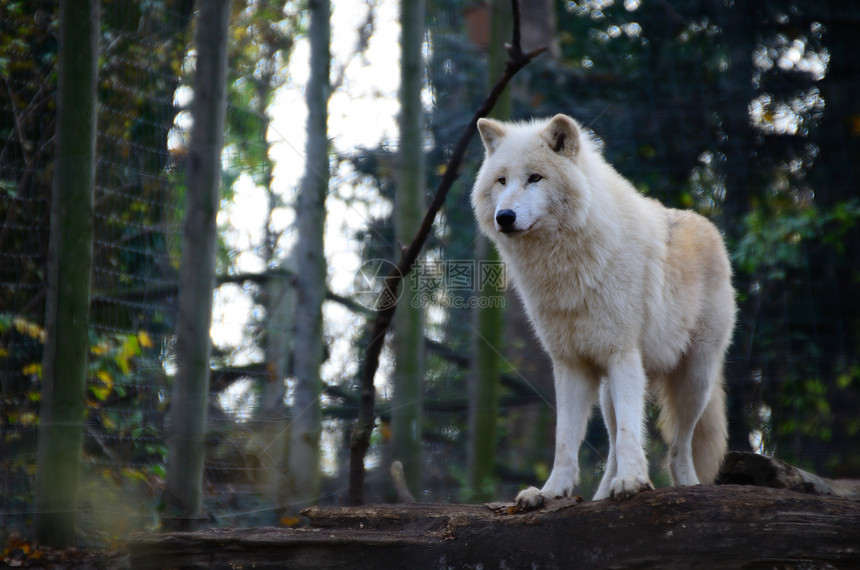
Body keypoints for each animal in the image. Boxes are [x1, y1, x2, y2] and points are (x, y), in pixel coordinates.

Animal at [470, 113, 732, 504]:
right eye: (502, 180)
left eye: (535, 178)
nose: (505, 216)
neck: (565, 266)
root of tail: (709, 227)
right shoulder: (570, 363)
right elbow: (566, 439)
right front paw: (551, 492)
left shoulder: (623, 355)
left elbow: (629, 434)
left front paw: (633, 481)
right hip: (610, 388)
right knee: (612, 442)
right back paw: (603, 494)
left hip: (694, 378)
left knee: (678, 444)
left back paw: (687, 484)